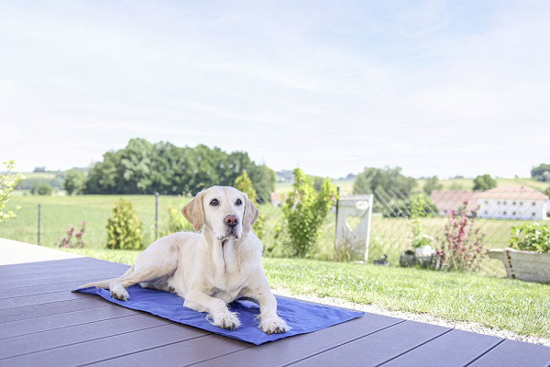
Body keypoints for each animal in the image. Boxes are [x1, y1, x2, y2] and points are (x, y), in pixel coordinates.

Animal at [81, 185, 292, 334]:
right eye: (214, 202)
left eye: (239, 202)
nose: (233, 220)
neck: (227, 261)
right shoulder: (195, 294)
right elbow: (218, 302)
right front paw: (226, 318)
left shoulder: (265, 293)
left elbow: (269, 308)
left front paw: (273, 322)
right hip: (164, 261)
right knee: (118, 280)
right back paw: (119, 292)